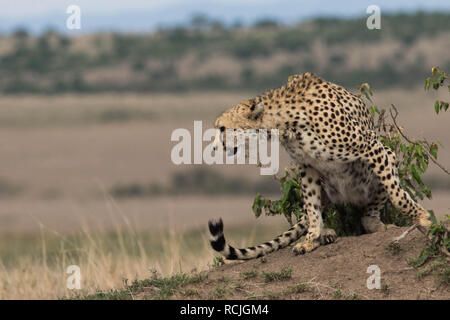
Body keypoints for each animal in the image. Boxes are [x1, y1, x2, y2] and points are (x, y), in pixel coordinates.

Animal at [207, 72, 432, 260]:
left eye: (222, 128)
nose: (215, 147)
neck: (284, 123)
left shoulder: (371, 146)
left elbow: (397, 193)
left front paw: (421, 218)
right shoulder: (308, 167)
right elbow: (312, 206)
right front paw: (311, 240)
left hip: (387, 156)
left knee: (369, 215)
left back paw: (375, 225)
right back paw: (326, 235)